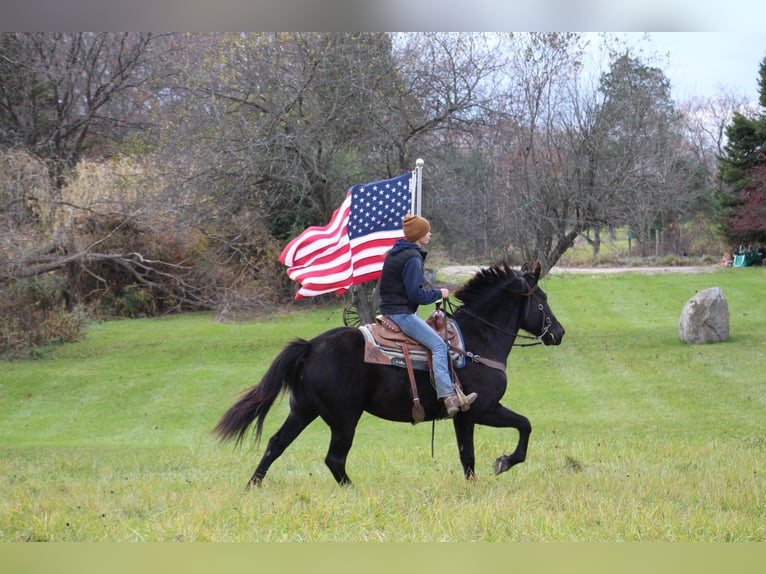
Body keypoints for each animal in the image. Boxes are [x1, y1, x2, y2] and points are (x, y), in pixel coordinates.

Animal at [214, 264, 564, 488]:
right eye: (542, 301)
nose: (558, 333)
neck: (478, 340)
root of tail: (311, 346)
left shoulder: (467, 415)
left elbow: (476, 451)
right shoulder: (480, 410)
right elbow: (516, 429)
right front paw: (503, 462)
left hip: (303, 411)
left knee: (276, 444)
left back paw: (252, 486)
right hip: (344, 419)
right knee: (334, 458)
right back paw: (353, 490)